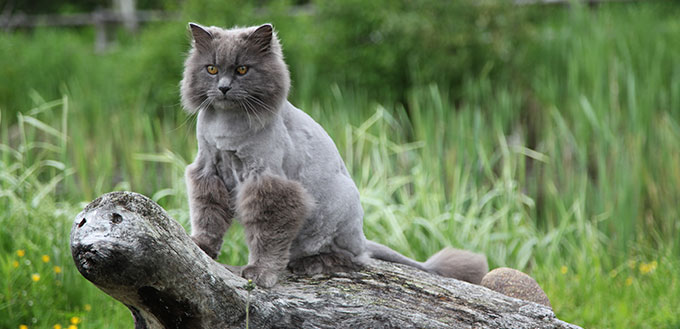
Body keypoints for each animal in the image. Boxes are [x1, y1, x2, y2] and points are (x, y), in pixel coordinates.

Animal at [181, 22, 488, 288]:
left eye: (243, 69)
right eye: (211, 69)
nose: (223, 88)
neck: (227, 126)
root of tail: (363, 237)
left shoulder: (269, 184)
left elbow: (267, 236)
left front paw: (261, 273)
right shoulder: (209, 170)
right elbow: (208, 216)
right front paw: (201, 247)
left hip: (340, 208)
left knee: (355, 258)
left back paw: (312, 263)